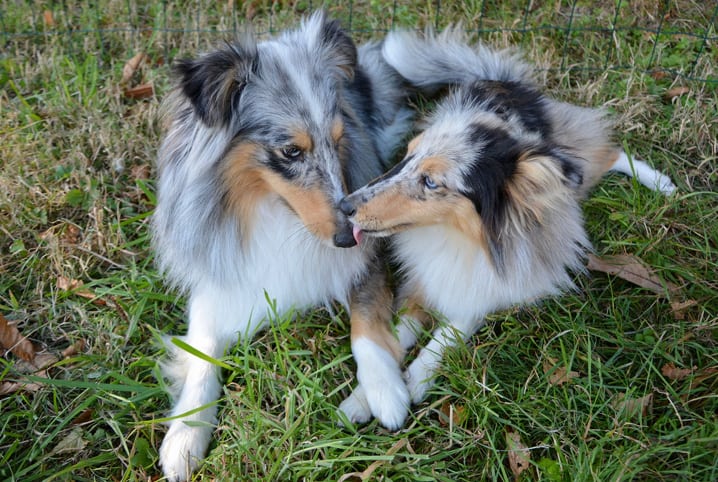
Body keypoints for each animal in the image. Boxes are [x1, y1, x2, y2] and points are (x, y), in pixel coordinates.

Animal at [154, 13, 414, 480]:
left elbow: (366, 324)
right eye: (291, 151)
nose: (347, 238)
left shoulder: (367, 263)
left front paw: (385, 391)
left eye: (339, 139)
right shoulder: (216, 278)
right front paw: (185, 436)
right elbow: (201, 353)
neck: (272, 209)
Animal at [334, 28, 676, 428]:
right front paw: (369, 397)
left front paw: (417, 377)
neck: (458, 237)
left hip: (575, 166)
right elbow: (396, 334)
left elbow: (451, 329)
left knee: (611, 153)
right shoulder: (424, 279)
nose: (345, 207)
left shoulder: (492, 287)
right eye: (407, 156)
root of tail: (503, 83)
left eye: (432, 182)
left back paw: (662, 183)